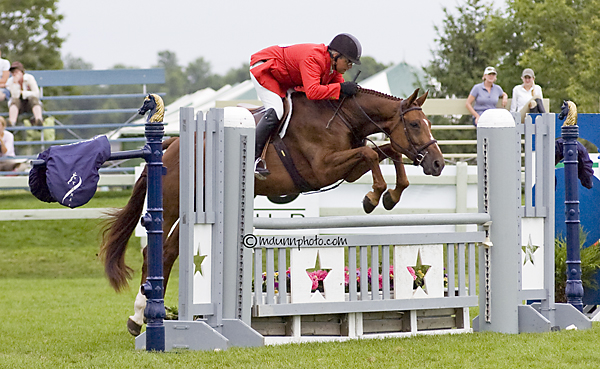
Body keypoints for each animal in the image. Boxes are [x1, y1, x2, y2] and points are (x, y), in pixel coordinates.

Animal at [99, 87, 446, 334]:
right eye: (415, 124)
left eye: (429, 124)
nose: (438, 165)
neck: (342, 118)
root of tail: (171, 146)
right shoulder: (324, 168)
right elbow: (373, 153)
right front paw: (374, 197)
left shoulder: (347, 169)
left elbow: (388, 151)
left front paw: (392, 195)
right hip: (174, 206)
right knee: (156, 253)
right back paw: (140, 316)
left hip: (194, 211)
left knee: (171, 251)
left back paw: (143, 318)